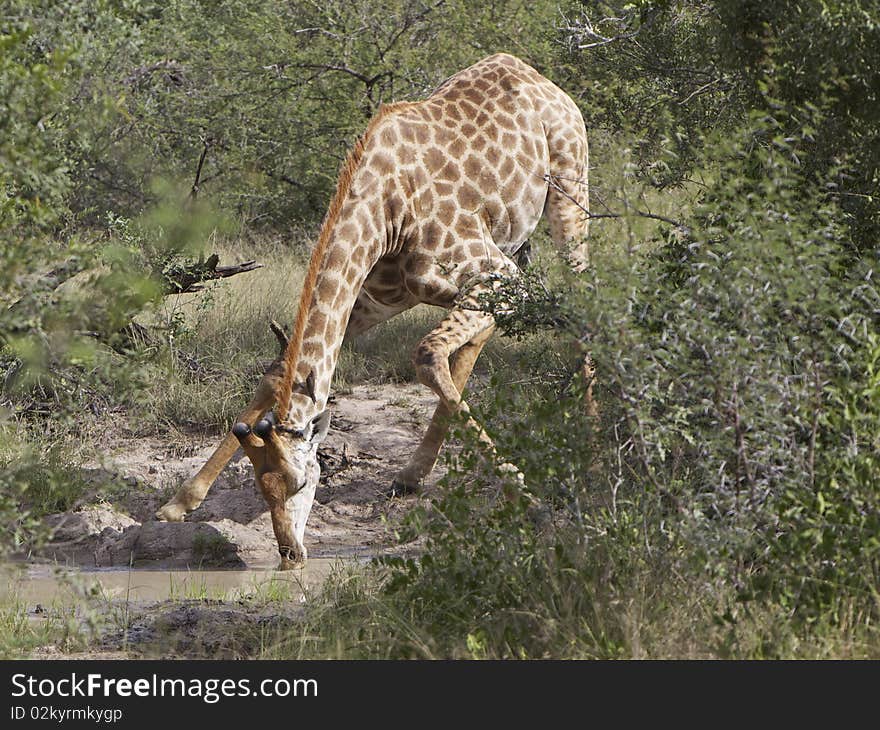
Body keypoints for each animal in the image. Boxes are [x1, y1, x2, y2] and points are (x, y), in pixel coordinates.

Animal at [157, 54, 592, 568]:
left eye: (302, 482)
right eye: (261, 488)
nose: (290, 554)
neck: (386, 213)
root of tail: (533, 73)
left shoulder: (499, 275)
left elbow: (426, 353)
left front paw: (529, 499)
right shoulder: (376, 298)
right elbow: (278, 371)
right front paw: (179, 502)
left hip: (569, 190)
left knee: (583, 306)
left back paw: (593, 443)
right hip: (505, 250)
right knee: (480, 338)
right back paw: (411, 473)